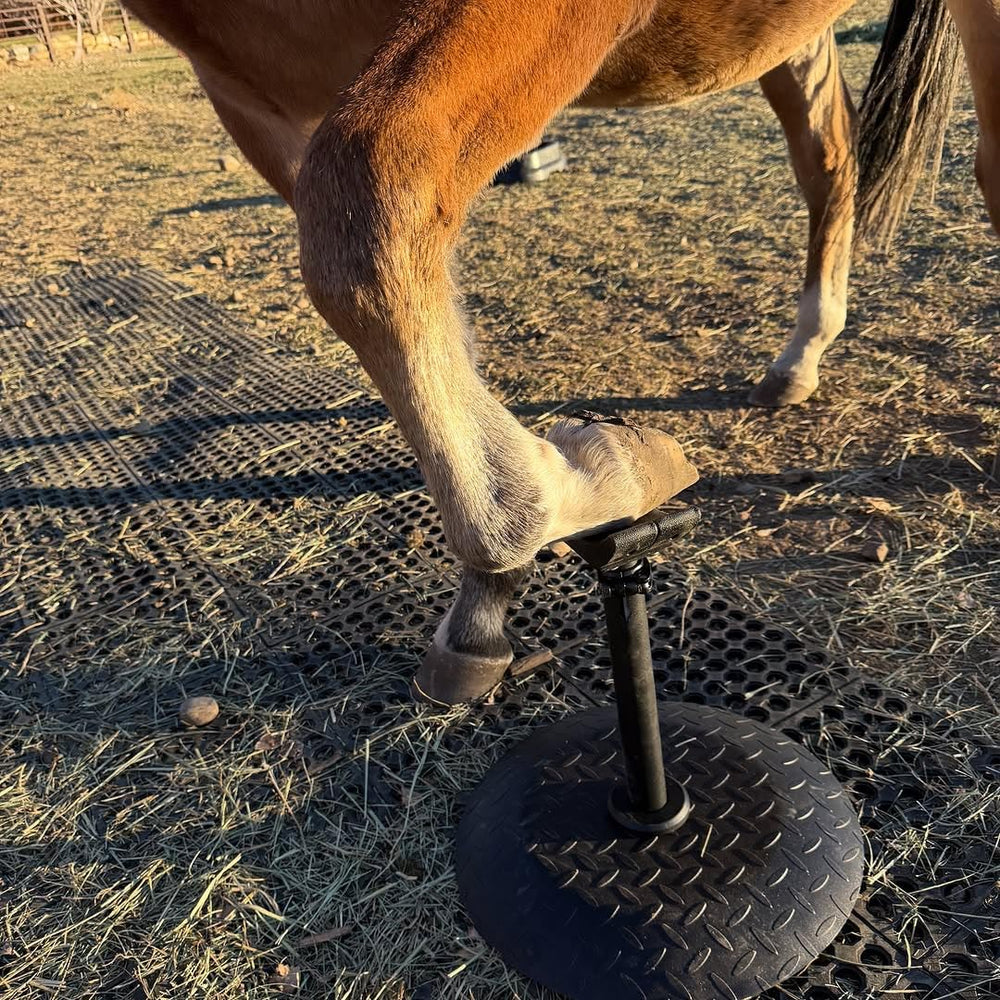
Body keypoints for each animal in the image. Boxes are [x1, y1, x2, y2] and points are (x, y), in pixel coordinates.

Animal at [121, 0, 999, 705]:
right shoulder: (251, 95)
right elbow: (410, 296)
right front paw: (489, 593)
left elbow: (368, 212)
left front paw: (581, 482)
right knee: (829, 160)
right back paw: (801, 354)